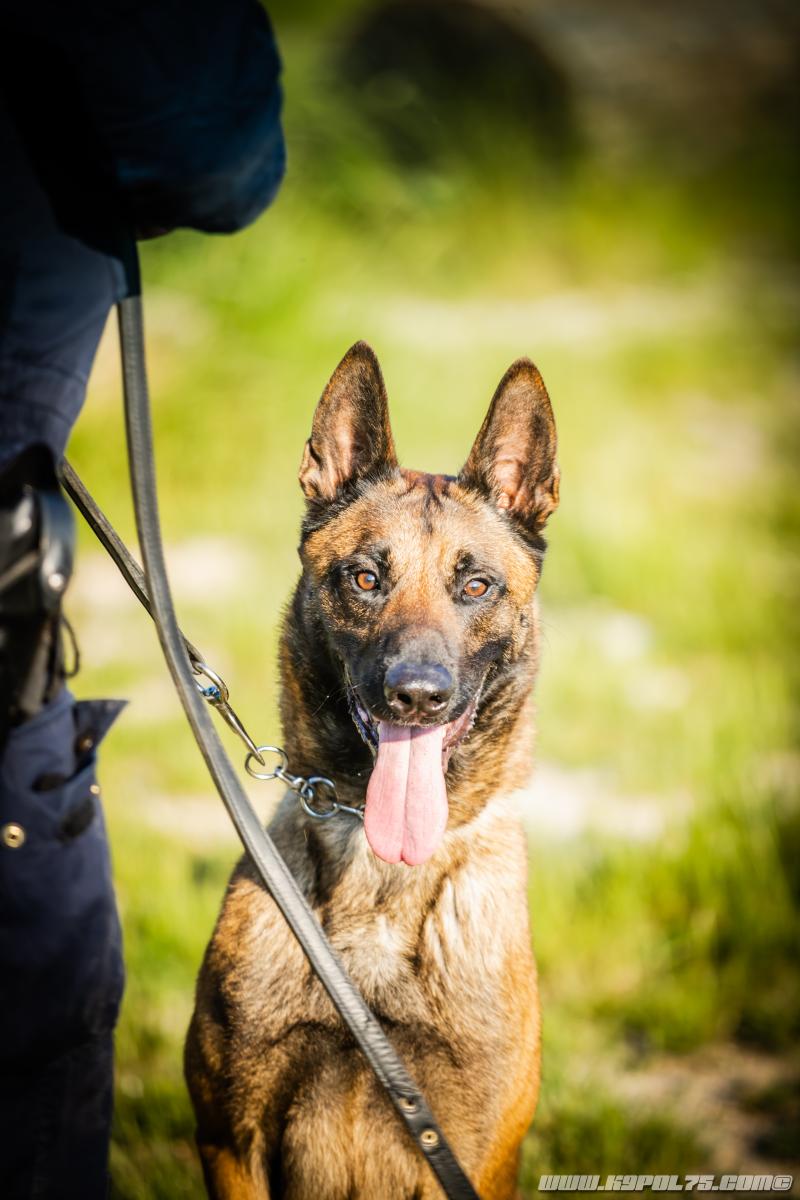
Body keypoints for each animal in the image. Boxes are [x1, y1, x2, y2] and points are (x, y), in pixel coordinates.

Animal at [185, 342, 560, 1199]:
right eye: (365, 578)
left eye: (476, 585)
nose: (416, 695)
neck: (382, 880)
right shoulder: (229, 1140)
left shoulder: (476, 1158)